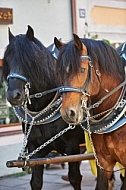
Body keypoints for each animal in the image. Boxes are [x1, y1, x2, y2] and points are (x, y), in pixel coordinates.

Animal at [2, 26, 84, 190]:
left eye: (29, 60)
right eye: (6, 61)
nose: (13, 96)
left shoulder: (72, 147)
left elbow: (75, 178)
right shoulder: (34, 150)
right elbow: (36, 181)